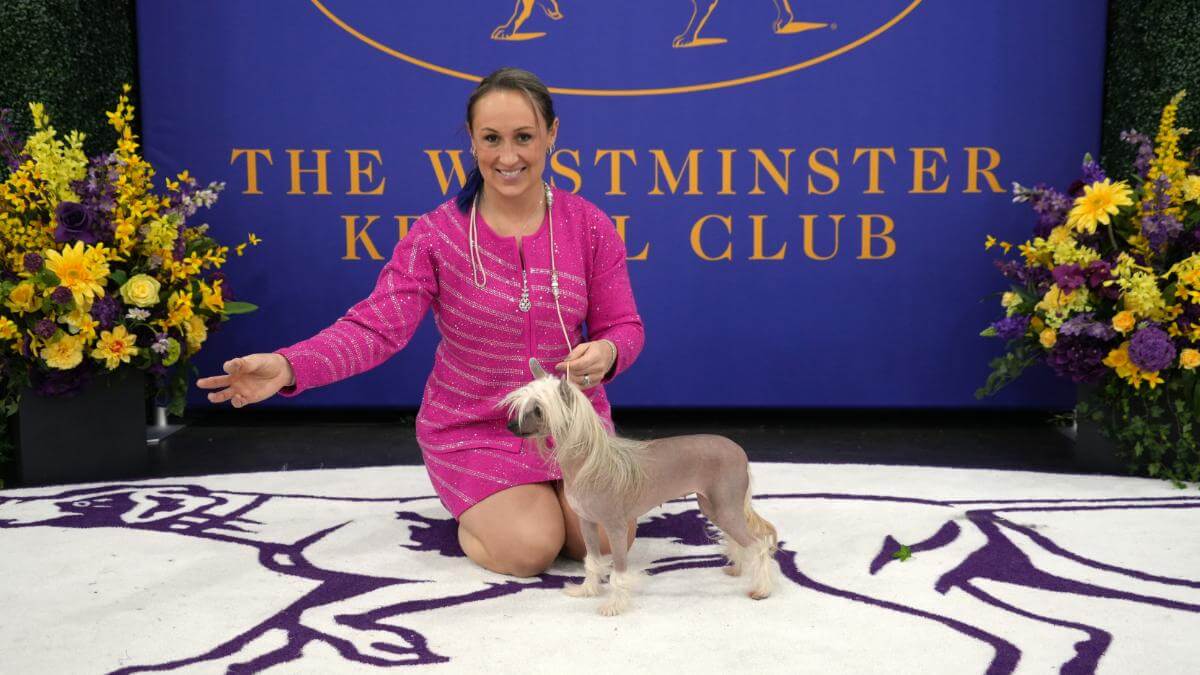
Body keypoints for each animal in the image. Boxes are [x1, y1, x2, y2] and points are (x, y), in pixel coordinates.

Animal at [499, 357, 772, 614]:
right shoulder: (587, 523)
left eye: (538, 410)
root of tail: (739, 450)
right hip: (713, 507)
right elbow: (592, 561)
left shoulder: (616, 528)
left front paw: (614, 606)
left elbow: (619, 573)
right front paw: (587, 590)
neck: (587, 464)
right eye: (524, 406)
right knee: (737, 539)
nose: (510, 426)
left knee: (759, 545)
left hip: (725, 508)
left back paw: (762, 589)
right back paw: (738, 569)